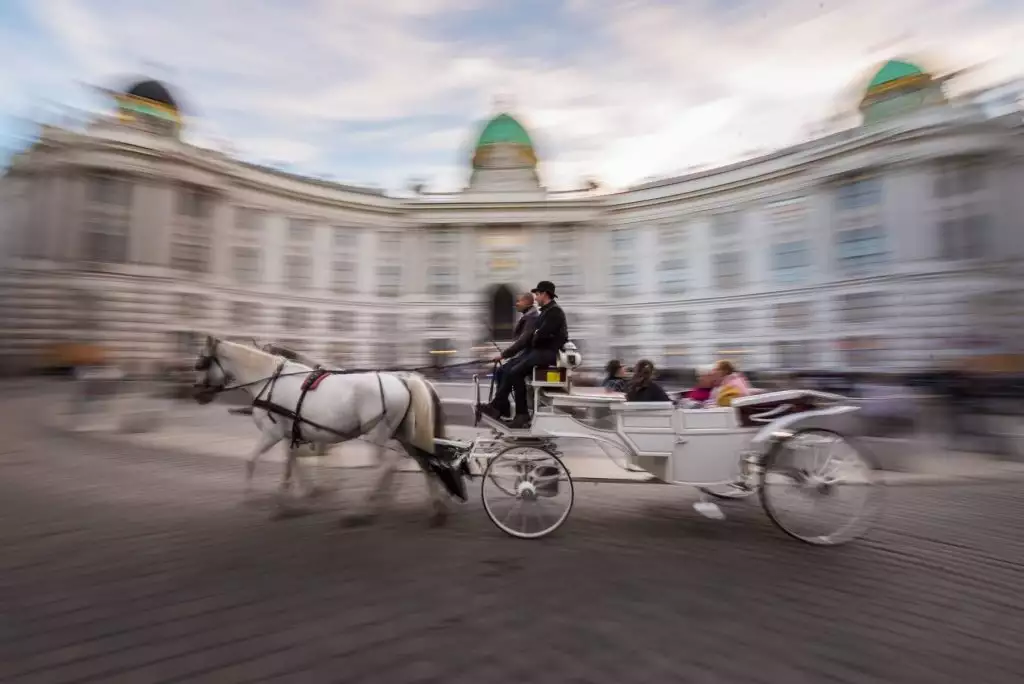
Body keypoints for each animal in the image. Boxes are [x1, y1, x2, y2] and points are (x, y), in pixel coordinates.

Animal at [191, 335, 464, 524]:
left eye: (202, 362)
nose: (196, 392)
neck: (270, 381)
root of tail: (404, 379)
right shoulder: (291, 434)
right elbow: (292, 464)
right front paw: (300, 495)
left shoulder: (272, 434)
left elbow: (252, 461)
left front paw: (251, 497)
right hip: (405, 434)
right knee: (423, 462)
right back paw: (435, 507)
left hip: (378, 434)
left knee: (389, 465)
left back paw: (364, 509)